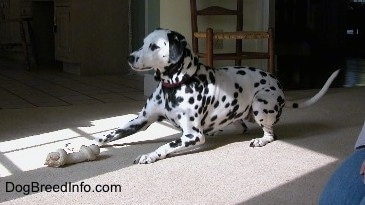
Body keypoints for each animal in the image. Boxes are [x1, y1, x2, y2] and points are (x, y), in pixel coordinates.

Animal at [96, 28, 338, 163]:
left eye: (154, 46)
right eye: (143, 43)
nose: (129, 57)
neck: (174, 85)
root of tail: (279, 86)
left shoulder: (193, 135)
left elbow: (165, 146)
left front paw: (149, 155)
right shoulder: (141, 120)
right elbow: (111, 133)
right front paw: (94, 141)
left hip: (261, 103)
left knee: (271, 135)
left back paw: (260, 140)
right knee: (241, 126)